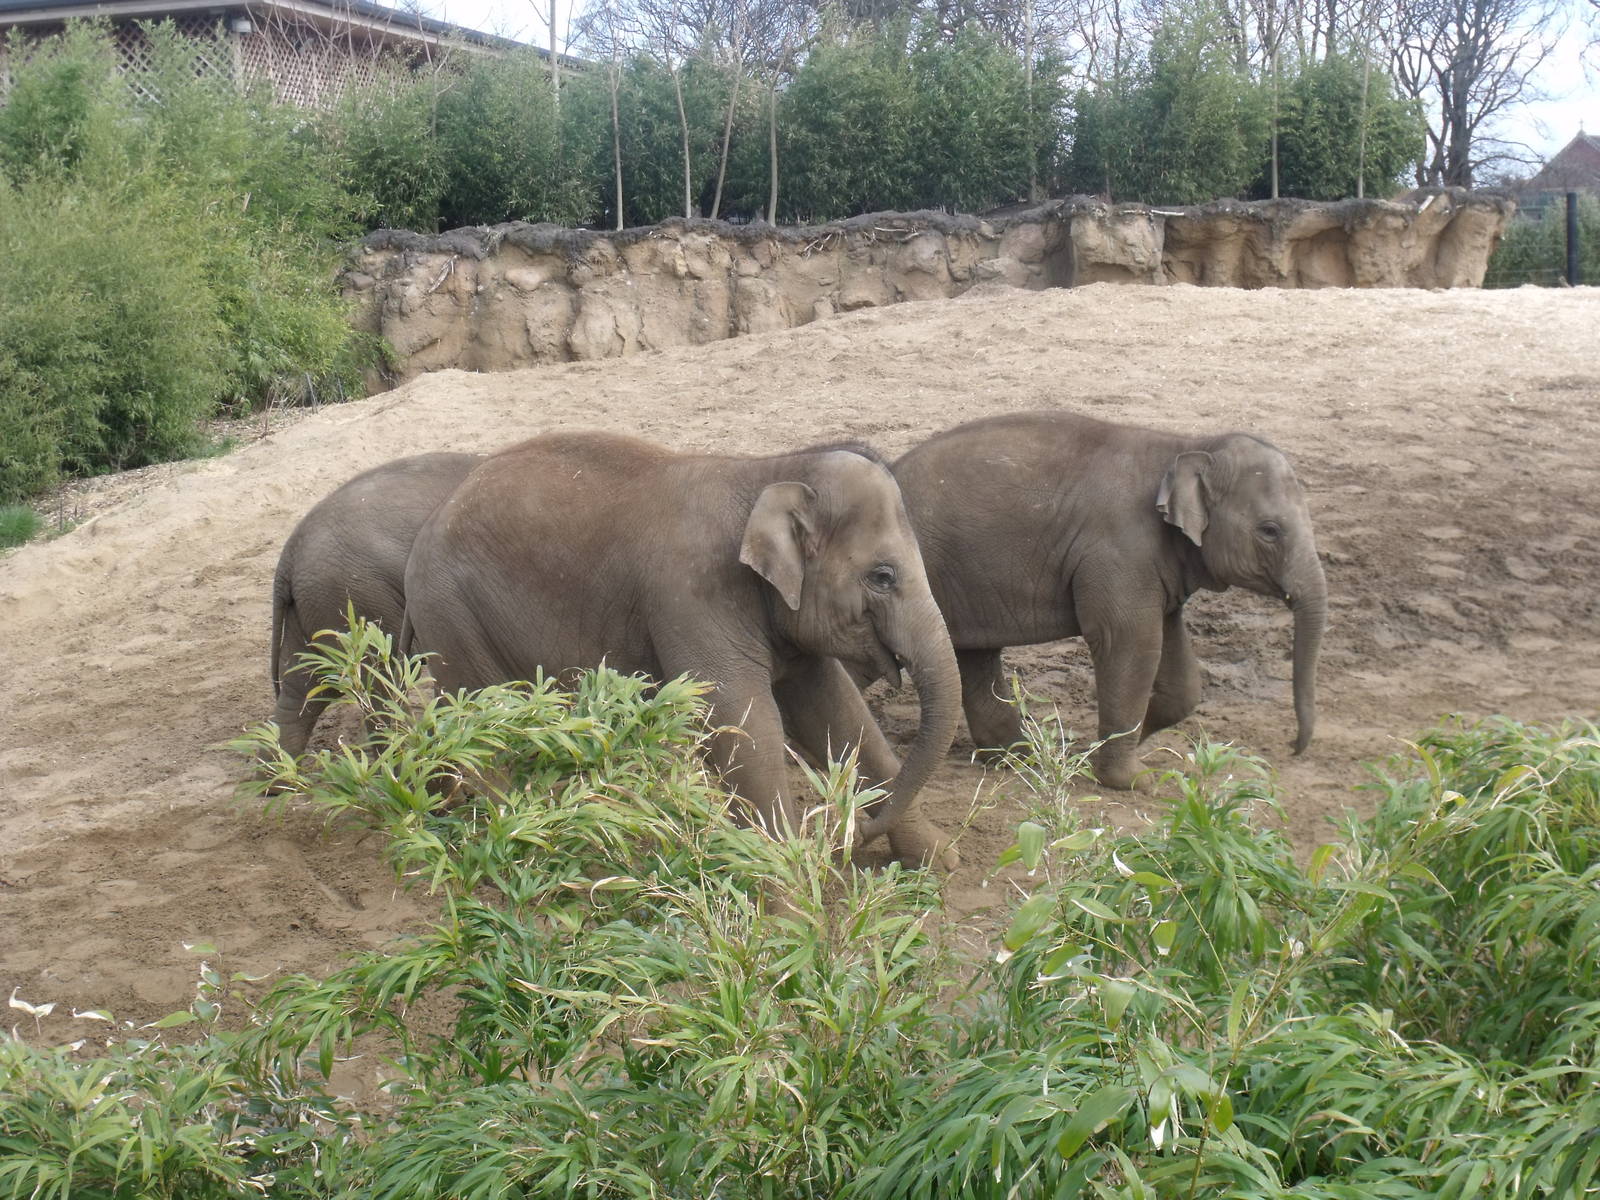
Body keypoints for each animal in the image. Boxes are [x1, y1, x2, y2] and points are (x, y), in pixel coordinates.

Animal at [269, 451, 482, 757]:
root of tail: (289, 555)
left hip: (315, 605)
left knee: (304, 689)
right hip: (357, 599)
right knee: (381, 682)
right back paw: (405, 756)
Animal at [400, 431, 963, 867]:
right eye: (882, 577)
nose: (842, 840)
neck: (768, 471)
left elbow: (839, 714)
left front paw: (939, 860)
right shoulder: (692, 595)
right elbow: (741, 724)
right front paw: (791, 894)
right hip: (451, 616)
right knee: (485, 723)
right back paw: (519, 835)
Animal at [888, 411, 1327, 790]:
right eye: (1270, 530)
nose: (1293, 748)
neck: (1188, 446)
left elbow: (1179, 674)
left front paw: (1110, 749)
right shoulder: (1121, 551)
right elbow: (1130, 644)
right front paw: (1133, 780)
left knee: (973, 657)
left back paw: (1018, 759)